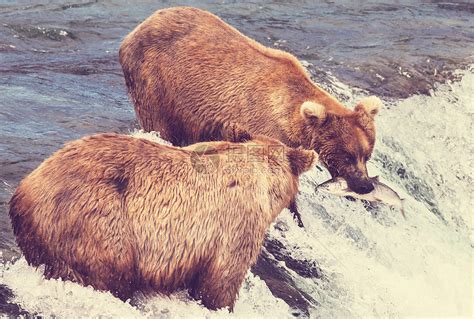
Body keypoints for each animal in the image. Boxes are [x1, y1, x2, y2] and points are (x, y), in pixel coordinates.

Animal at [120, 5, 384, 225]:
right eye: (347, 155)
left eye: (367, 154)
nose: (365, 186)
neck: (289, 118)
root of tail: (137, 28)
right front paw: (295, 215)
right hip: (157, 86)